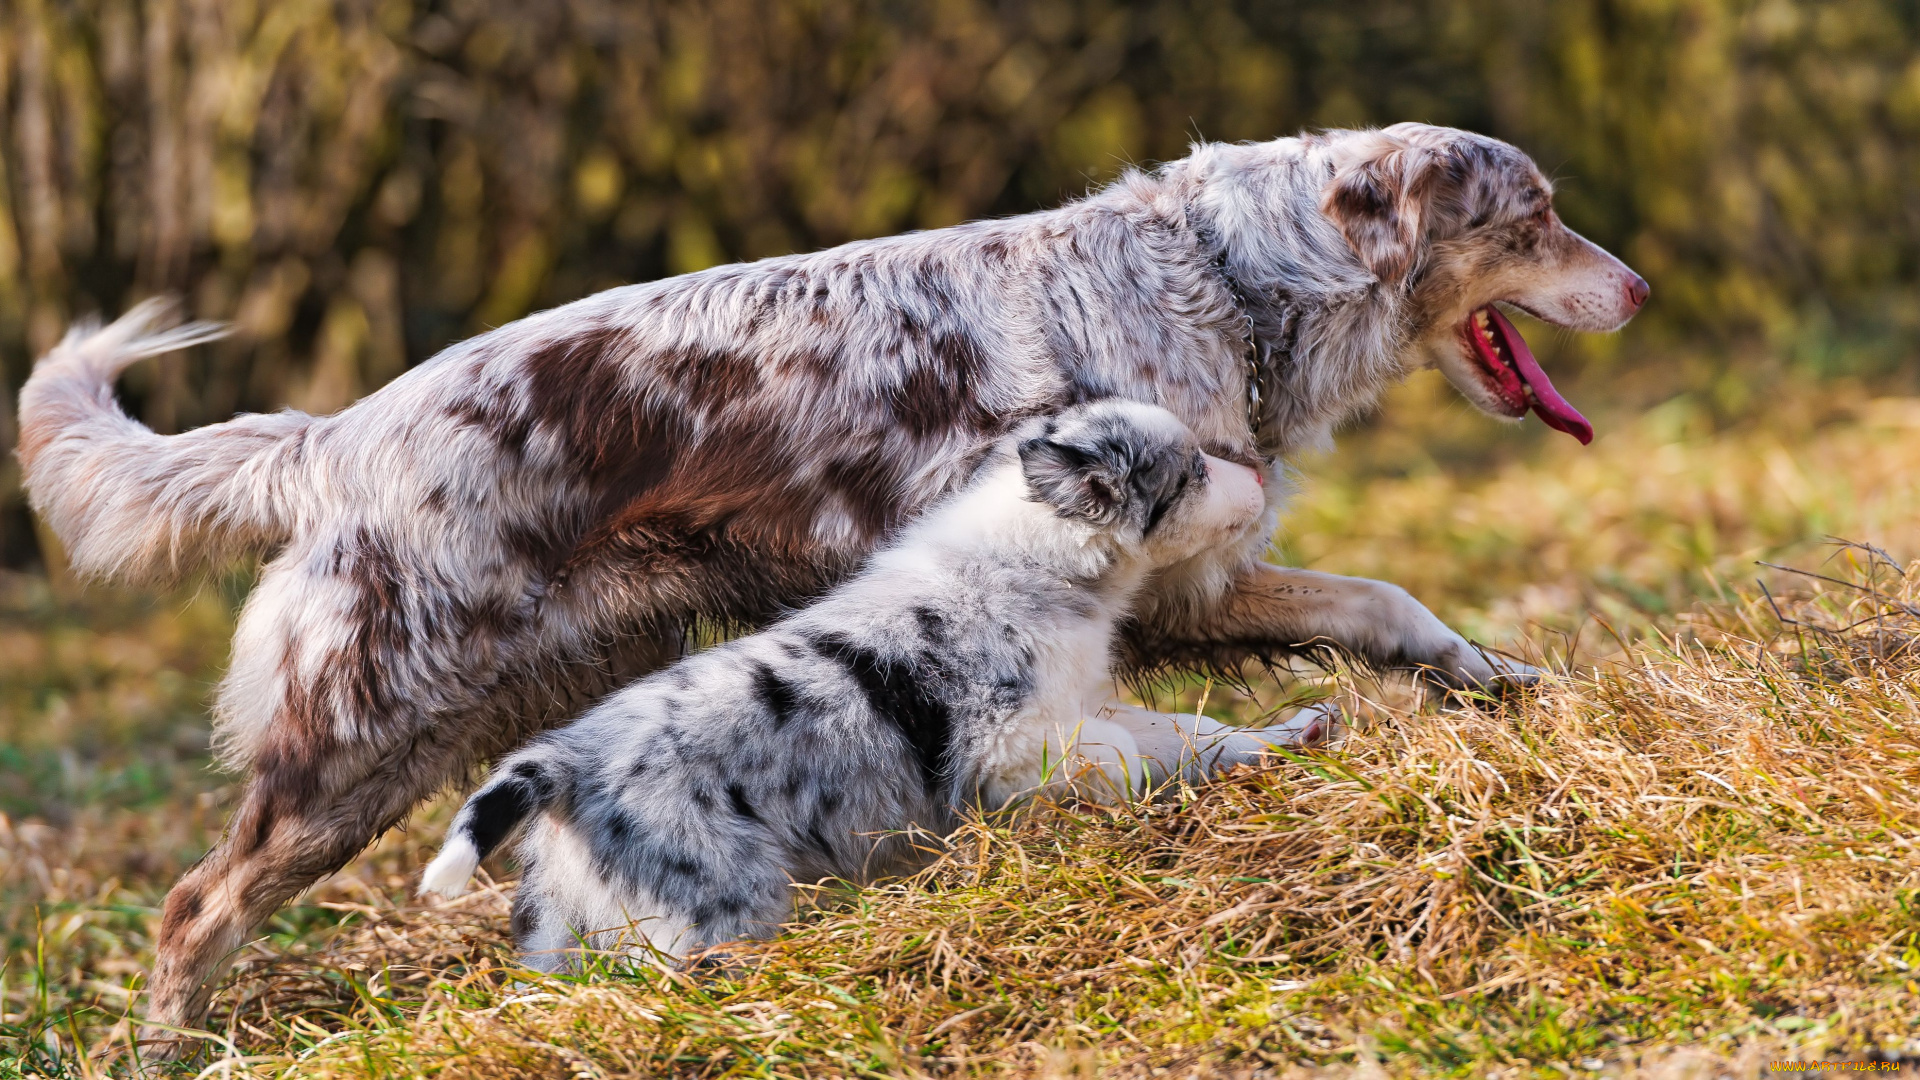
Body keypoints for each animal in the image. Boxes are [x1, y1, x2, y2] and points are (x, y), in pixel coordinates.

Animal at [424, 401, 1305, 957]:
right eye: (1193, 474)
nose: (1261, 479)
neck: (1037, 558)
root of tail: (562, 759)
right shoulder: (1014, 744)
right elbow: (1127, 756)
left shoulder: (1082, 703)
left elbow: (1191, 733)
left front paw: (1290, 734)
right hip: (710, 905)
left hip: (564, 922)